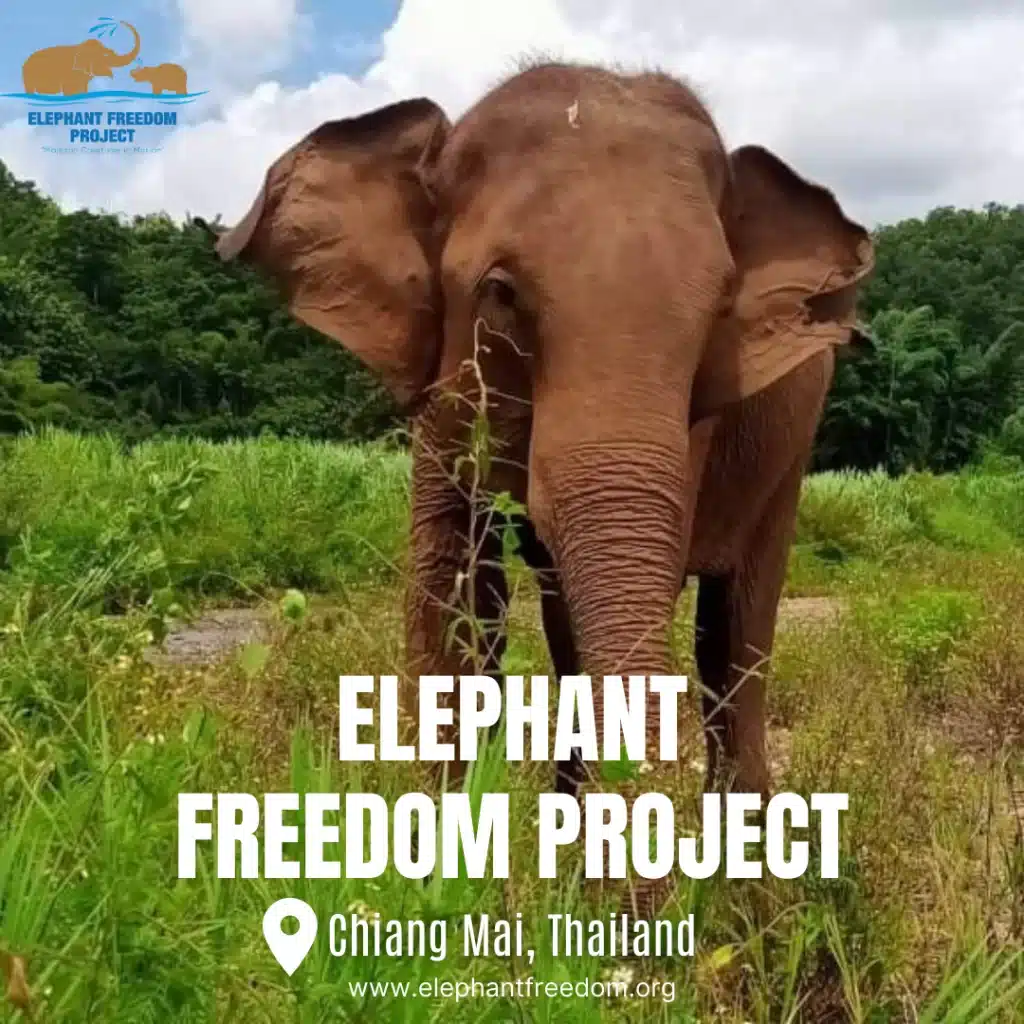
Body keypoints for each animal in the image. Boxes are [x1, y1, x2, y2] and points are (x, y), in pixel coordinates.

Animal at [205, 59, 872, 905]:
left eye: (720, 312)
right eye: (501, 294)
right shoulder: (444, 394)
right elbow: (453, 590)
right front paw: (446, 879)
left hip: (791, 447)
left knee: (736, 633)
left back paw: (752, 888)